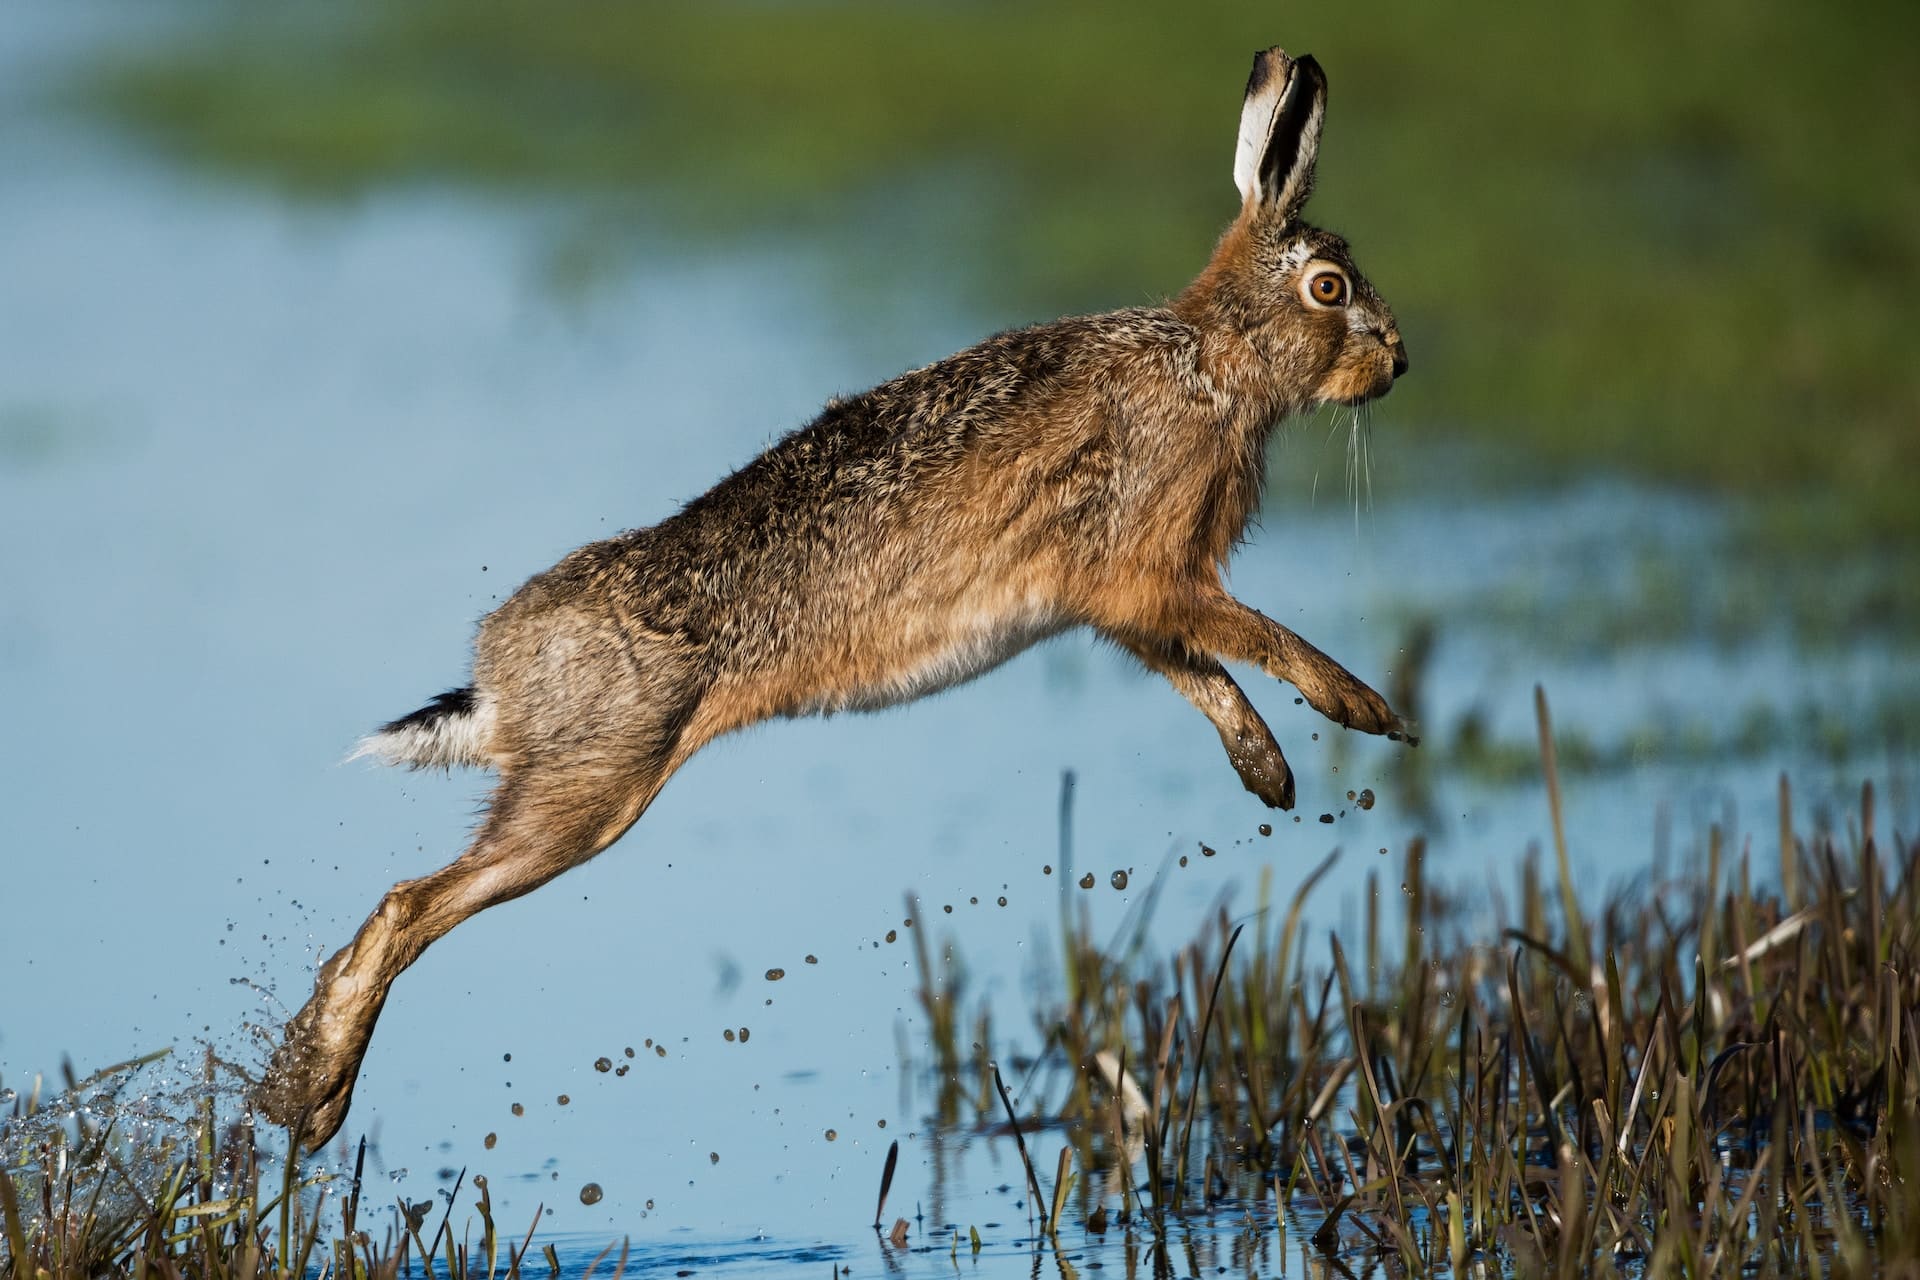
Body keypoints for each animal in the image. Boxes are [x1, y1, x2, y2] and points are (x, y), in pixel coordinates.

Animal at [259, 45, 1411, 1149]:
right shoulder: (1150, 568)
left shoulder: (1123, 603)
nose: (1401, 361)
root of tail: (499, 668)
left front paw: (1270, 777)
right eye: (1328, 289)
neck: (1216, 361)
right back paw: (307, 1101)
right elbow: (1253, 634)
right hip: (592, 788)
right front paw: (1367, 708)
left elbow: (1204, 673)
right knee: (408, 906)